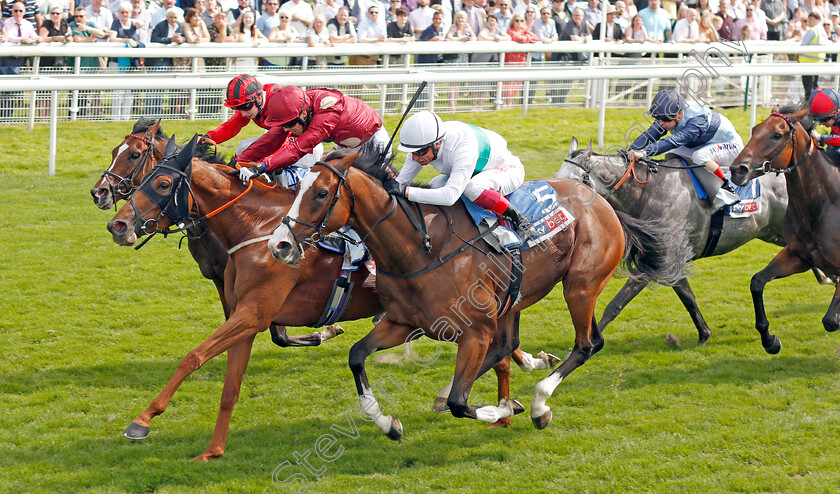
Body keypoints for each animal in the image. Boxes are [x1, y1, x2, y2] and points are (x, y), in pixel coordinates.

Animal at [105, 134, 556, 460]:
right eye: (142, 176)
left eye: (161, 182)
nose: (117, 224)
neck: (256, 229)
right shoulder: (246, 317)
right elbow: (231, 385)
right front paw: (213, 450)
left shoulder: (253, 313)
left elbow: (194, 356)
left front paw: (142, 420)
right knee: (499, 347)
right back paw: (509, 402)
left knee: (498, 348)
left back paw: (512, 396)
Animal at [270, 139, 688, 436]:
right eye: (297, 188)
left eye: (321, 193)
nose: (280, 244)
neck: (419, 249)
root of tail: (602, 201)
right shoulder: (404, 322)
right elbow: (357, 355)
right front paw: (387, 423)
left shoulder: (475, 331)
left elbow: (461, 401)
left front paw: (503, 408)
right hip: (514, 298)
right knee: (507, 345)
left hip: (580, 286)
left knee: (587, 344)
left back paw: (538, 404)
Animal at [556, 135, 832, 344]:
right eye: (557, 175)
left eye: (575, 180)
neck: (649, 192)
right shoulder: (671, 261)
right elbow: (687, 297)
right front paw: (704, 333)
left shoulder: (656, 262)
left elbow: (615, 305)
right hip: (773, 233)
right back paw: (825, 278)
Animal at [728, 108, 840, 356]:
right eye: (754, 130)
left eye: (777, 135)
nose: (737, 170)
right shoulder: (798, 256)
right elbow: (757, 282)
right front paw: (770, 340)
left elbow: (830, 321)